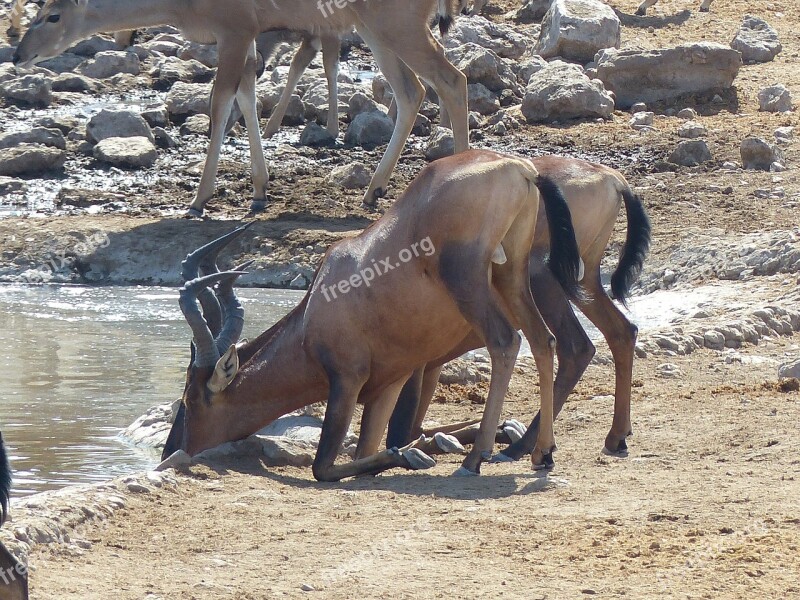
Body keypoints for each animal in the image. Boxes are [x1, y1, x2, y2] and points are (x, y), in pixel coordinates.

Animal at [12, 0, 468, 216]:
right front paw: (260, 191)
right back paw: (373, 190)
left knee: (451, 80)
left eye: (53, 16)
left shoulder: (233, 32)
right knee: (411, 91)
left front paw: (199, 199)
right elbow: (246, 99)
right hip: (374, 29)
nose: (18, 54)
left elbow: (219, 105)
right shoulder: (246, 39)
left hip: (395, 27)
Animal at [164, 150, 580, 478]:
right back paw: (541, 453)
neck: (317, 307)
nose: (172, 454)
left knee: (505, 341)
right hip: (512, 276)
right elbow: (366, 451)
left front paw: (412, 454)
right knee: (544, 340)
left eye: (191, 399)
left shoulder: (347, 380)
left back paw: (476, 458)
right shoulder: (387, 387)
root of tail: (519, 168)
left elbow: (324, 467)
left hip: (469, 281)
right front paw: (416, 449)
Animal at [384, 155, 652, 460]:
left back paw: (525, 447)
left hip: (545, 278)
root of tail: (613, 179)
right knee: (621, 331)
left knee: (574, 346)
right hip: (585, 280)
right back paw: (615, 436)